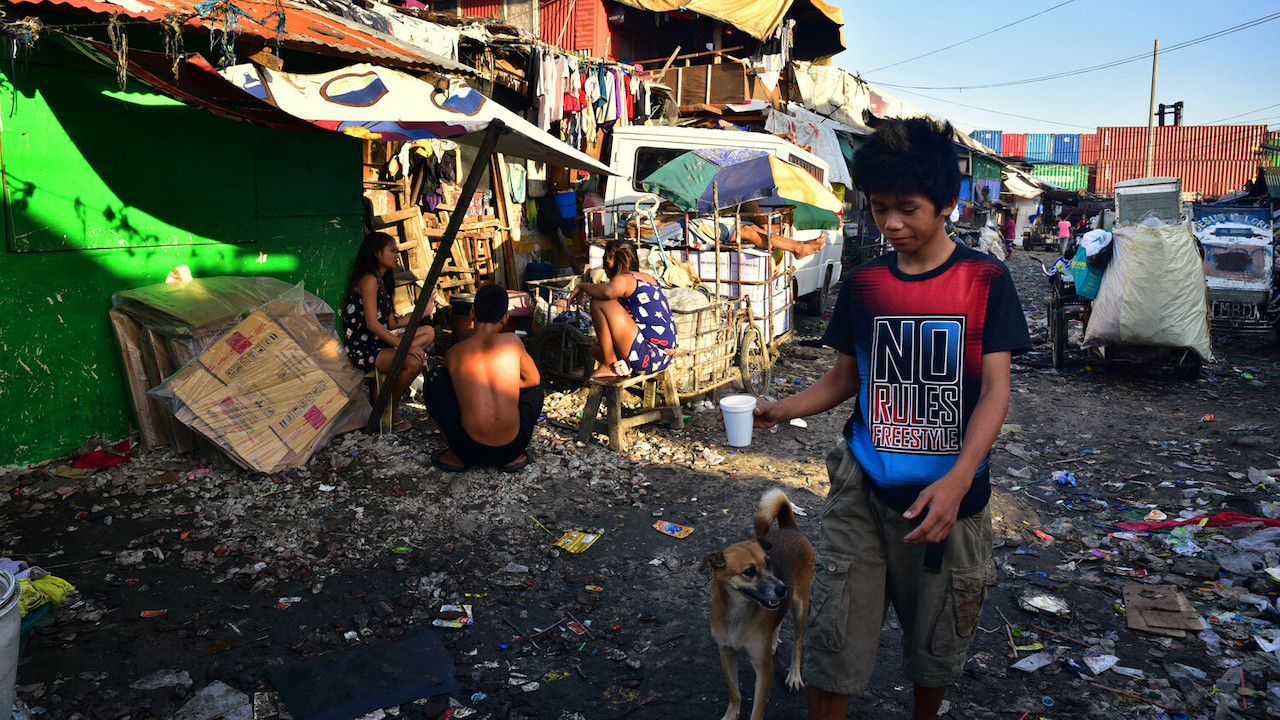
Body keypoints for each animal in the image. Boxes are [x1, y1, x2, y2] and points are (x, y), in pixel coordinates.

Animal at [701, 486, 819, 717]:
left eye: (768, 564)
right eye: (749, 572)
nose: (783, 588)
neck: (738, 614)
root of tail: (791, 528)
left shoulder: (764, 669)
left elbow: (757, 711)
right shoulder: (726, 654)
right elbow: (734, 692)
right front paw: (731, 714)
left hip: (800, 605)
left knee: (798, 642)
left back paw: (794, 676)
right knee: (778, 620)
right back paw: (773, 642)